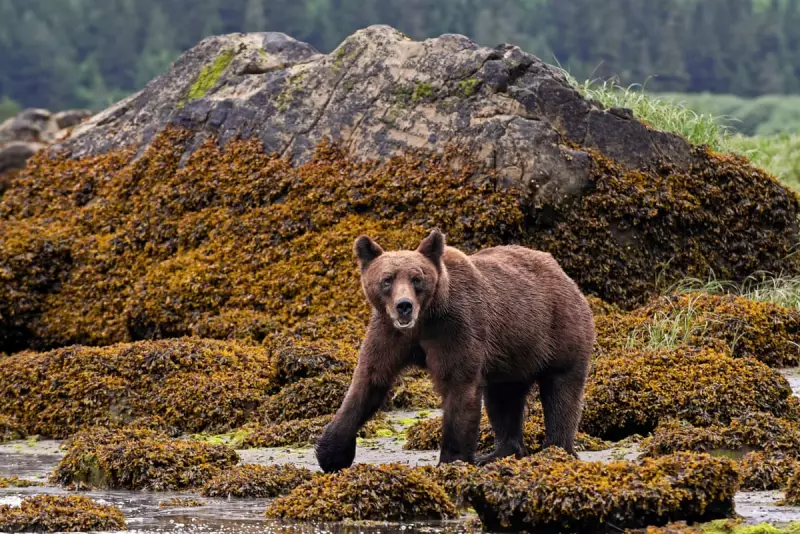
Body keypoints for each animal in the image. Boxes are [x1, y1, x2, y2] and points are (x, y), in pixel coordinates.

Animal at [315, 228, 595, 473]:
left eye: (417, 279)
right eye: (387, 279)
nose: (404, 306)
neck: (423, 321)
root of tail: (565, 276)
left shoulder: (456, 328)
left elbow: (458, 387)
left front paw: (452, 461)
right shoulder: (388, 334)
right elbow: (369, 381)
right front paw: (331, 453)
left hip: (558, 331)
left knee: (561, 392)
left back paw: (556, 450)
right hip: (512, 354)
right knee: (504, 397)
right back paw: (498, 453)